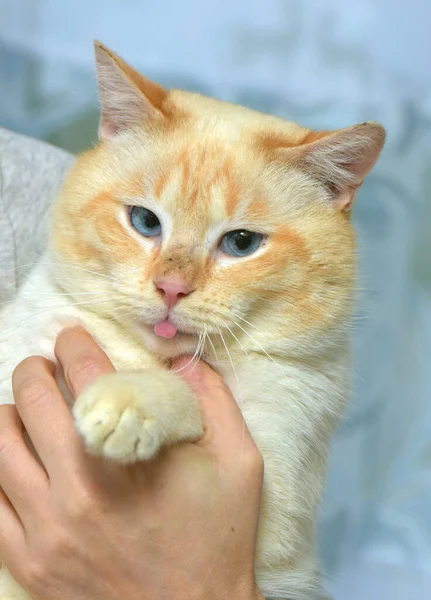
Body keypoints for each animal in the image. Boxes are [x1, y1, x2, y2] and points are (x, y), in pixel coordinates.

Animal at [0, 42, 384, 600]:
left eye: (241, 243)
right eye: (144, 222)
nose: (171, 289)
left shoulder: (274, 490)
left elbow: (182, 399)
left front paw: (121, 406)